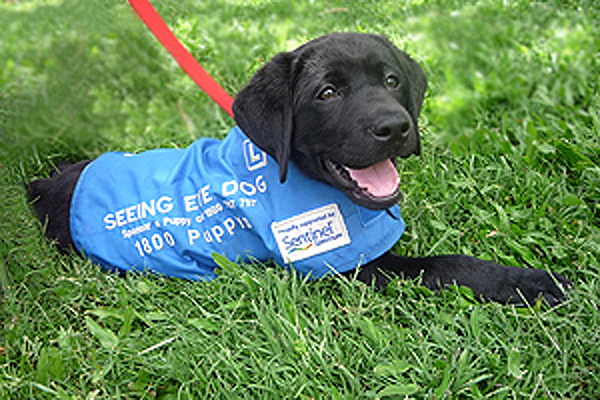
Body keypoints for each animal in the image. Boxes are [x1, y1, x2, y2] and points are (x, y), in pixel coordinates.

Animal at [29, 32, 572, 306]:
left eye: (391, 80)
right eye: (327, 93)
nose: (395, 127)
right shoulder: (345, 266)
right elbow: (444, 265)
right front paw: (526, 282)